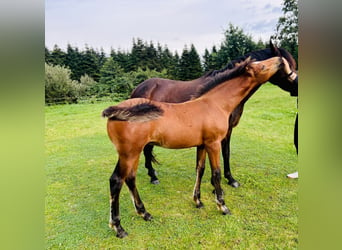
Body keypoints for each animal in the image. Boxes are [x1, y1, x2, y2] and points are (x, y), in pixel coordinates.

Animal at [103, 56, 284, 238]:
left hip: (132, 153)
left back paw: (144, 213)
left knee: (130, 178)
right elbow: (216, 173)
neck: (215, 104)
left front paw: (198, 201)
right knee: (116, 180)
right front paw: (222, 206)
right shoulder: (213, 143)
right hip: (129, 153)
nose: (280, 59)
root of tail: (114, 111)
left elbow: (200, 169)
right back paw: (118, 227)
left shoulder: (202, 145)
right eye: (262, 66)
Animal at [131, 41, 296, 187]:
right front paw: (228, 180)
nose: (296, 86)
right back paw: (153, 177)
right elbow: (224, 153)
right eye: (286, 64)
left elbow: (224, 153)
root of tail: (138, 88)